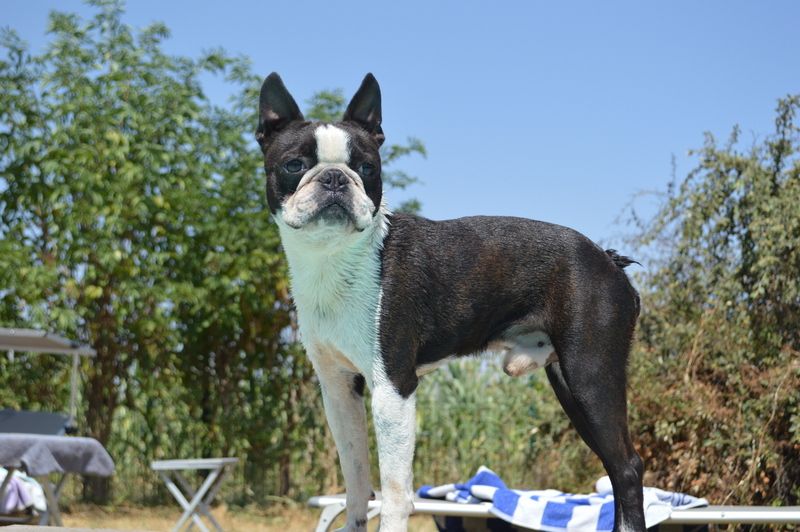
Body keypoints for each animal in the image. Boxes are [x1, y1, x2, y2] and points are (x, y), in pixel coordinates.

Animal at [256, 73, 646, 532]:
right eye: (294, 165)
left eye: (368, 169)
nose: (335, 177)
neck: (335, 257)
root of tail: (606, 258)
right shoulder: (338, 389)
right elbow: (356, 482)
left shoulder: (393, 388)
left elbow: (393, 491)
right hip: (570, 383)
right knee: (613, 465)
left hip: (591, 374)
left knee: (627, 467)